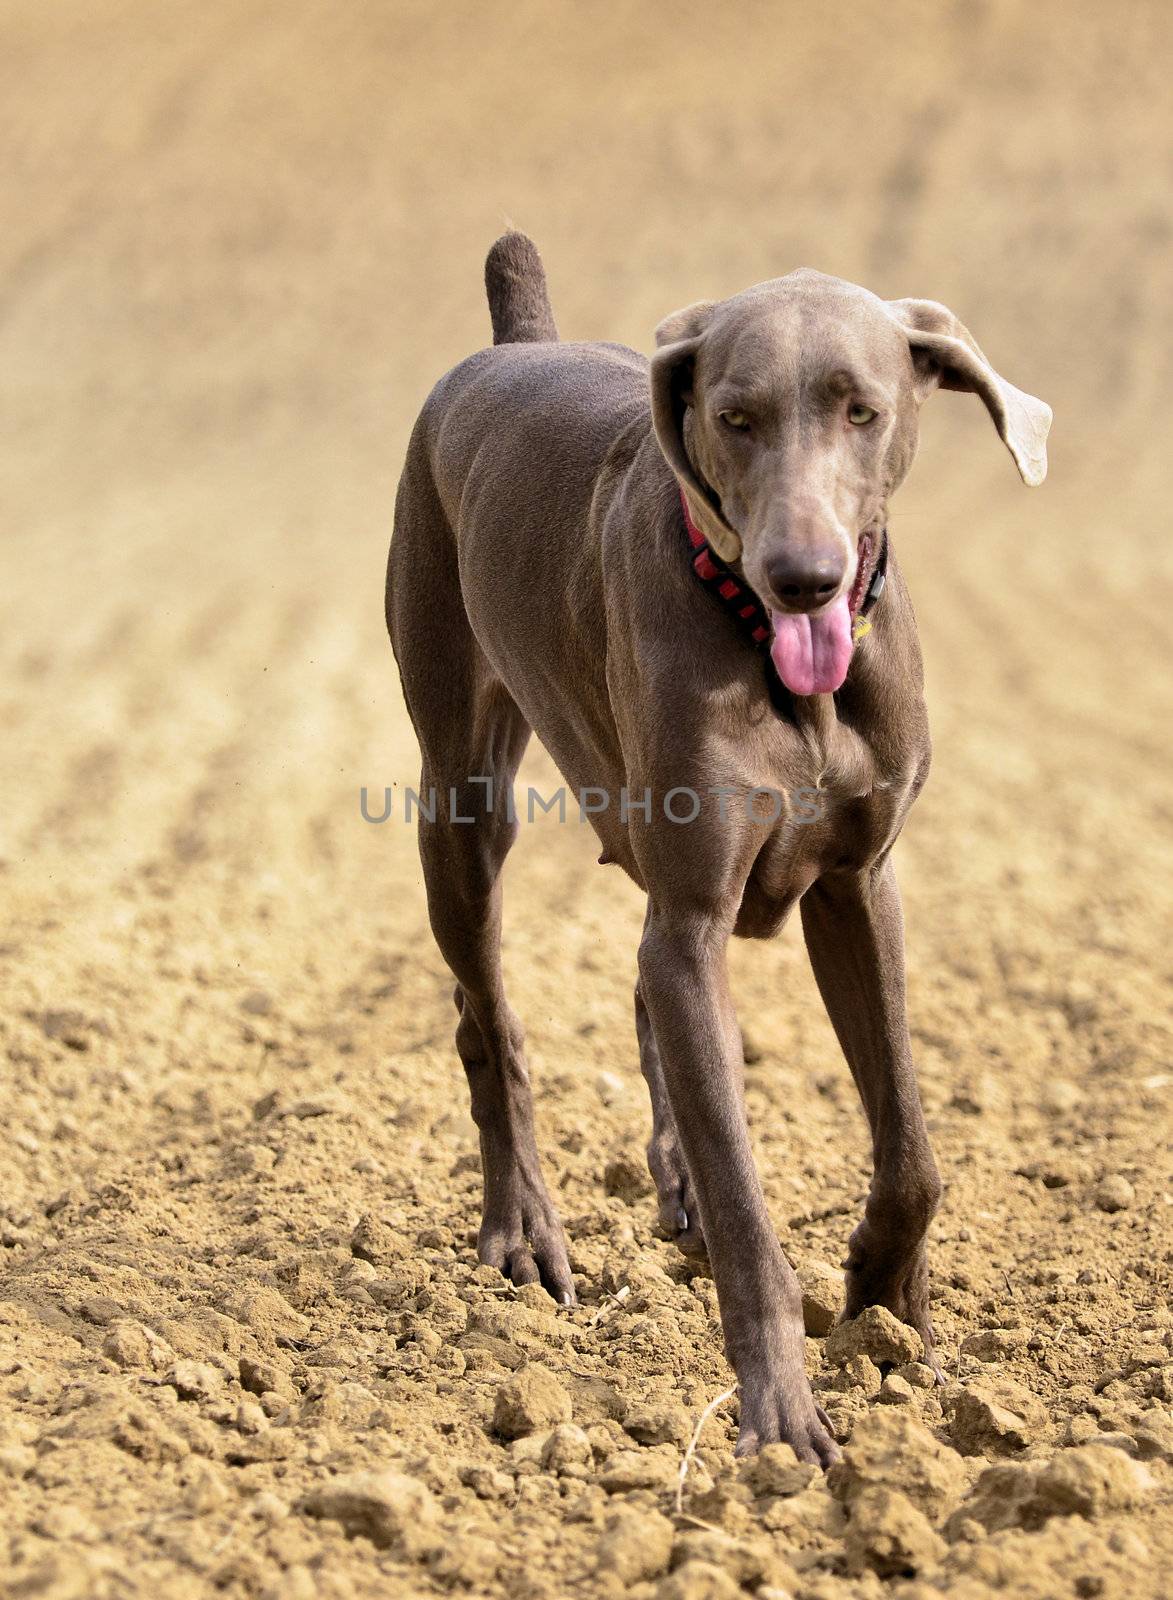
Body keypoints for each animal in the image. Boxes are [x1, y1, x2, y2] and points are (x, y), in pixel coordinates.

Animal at [387, 232, 1049, 1465]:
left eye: (862, 409)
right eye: (734, 418)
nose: (803, 576)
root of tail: (514, 346)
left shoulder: (858, 885)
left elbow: (913, 1150)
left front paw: (889, 1312)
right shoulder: (695, 915)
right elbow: (750, 1203)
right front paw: (785, 1416)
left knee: (642, 997)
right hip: (460, 792)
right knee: (488, 1019)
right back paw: (524, 1230)